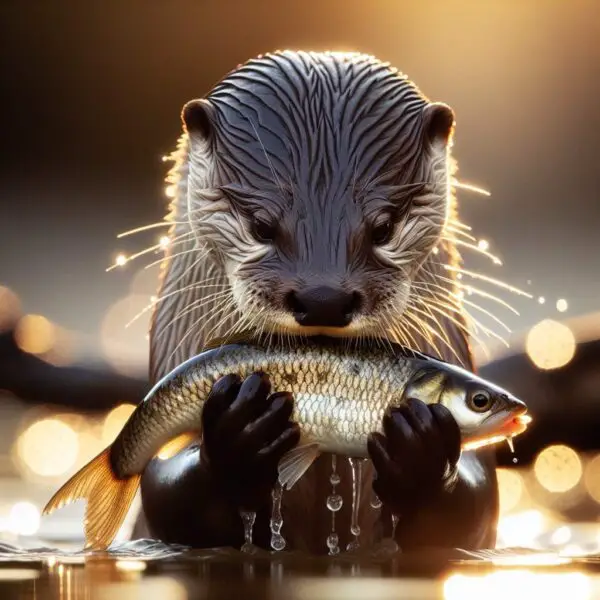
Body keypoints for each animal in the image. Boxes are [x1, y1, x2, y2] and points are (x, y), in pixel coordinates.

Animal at [135, 51, 496, 552]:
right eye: (261, 225)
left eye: (384, 227)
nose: (324, 299)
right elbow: (163, 491)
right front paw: (238, 431)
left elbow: (474, 506)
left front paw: (420, 447)